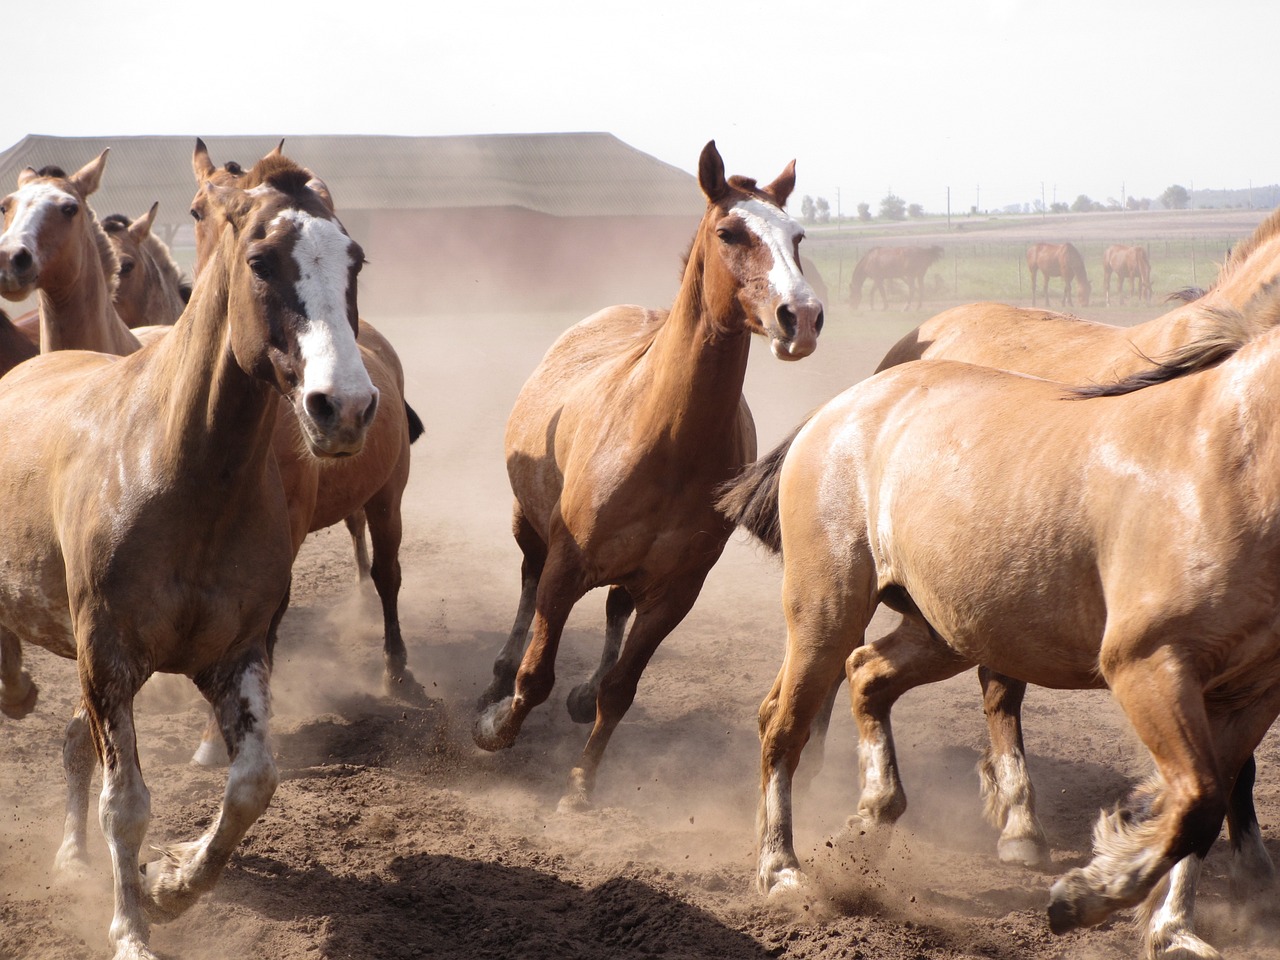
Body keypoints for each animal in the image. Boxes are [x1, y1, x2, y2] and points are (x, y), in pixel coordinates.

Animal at [0, 154, 373, 960]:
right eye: (261, 261)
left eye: (355, 259)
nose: (346, 407)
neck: (181, 471)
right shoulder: (108, 660)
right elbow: (126, 803)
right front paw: (131, 931)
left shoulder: (235, 654)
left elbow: (252, 783)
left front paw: (169, 882)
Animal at [476, 138, 824, 814]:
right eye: (729, 232)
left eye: (797, 236)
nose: (801, 316)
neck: (664, 441)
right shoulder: (566, 566)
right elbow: (537, 670)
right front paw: (496, 728)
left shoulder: (674, 593)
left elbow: (622, 690)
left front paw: (581, 787)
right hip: (528, 525)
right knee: (526, 585)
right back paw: (497, 678)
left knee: (615, 610)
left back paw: (582, 695)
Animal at [732, 293, 1280, 960]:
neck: (1222, 458)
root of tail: (844, 403)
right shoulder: (1148, 664)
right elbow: (1196, 799)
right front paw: (1086, 894)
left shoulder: (1248, 694)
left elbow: (1207, 802)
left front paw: (1171, 931)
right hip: (826, 610)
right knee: (782, 724)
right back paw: (781, 870)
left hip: (950, 629)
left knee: (866, 675)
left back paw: (871, 817)